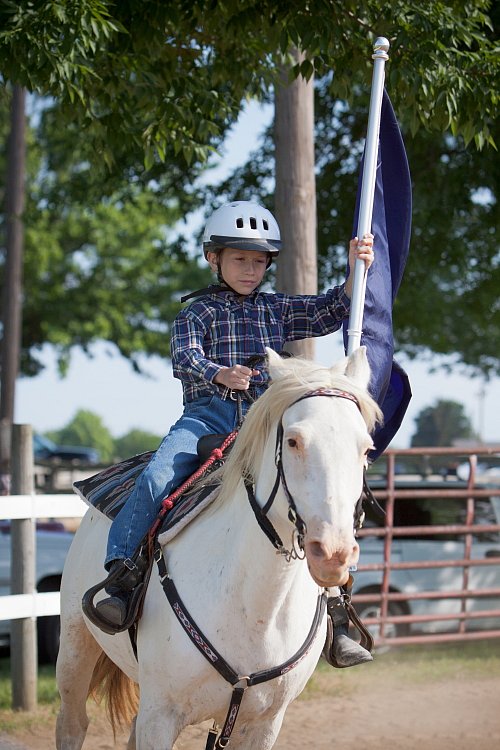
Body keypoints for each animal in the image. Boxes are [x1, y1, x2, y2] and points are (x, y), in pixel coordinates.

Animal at [56, 350, 380, 748]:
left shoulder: (263, 723)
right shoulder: (160, 716)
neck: (254, 606)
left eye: (365, 449)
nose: (333, 552)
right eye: (293, 441)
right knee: (73, 723)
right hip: (75, 647)